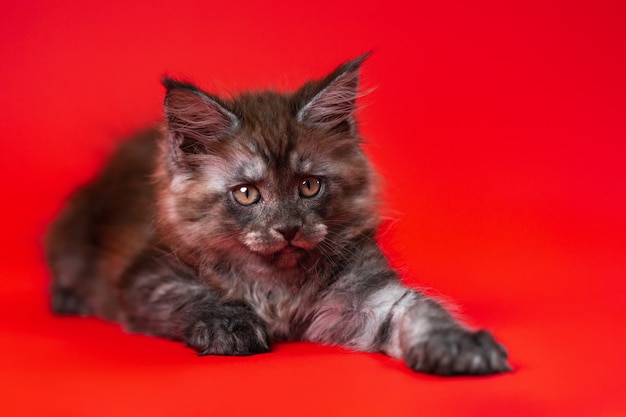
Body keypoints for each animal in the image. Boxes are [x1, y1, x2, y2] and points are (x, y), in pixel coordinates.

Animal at [46, 53, 510, 376]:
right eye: (247, 194)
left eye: (308, 186)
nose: (287, 228)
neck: (276, 284)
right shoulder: (148, 275)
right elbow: (196, 295)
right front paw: (232, 325)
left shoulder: (363, 298)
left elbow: (418, 310)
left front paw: (458, 345)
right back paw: (69, 299)